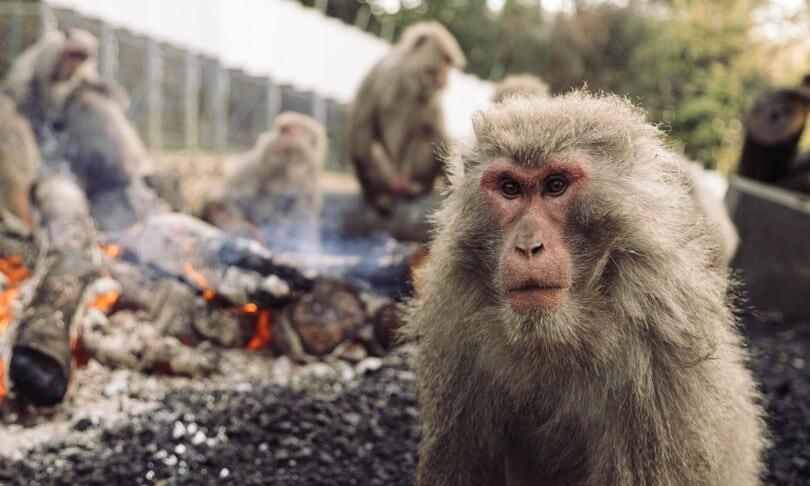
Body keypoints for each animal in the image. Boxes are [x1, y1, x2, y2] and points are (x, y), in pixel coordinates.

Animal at [201, 112, 326, 251]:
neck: (289, 171)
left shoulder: (309, 188)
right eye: (280, 131)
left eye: (287, 132)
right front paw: (238, 226)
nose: (274, 139)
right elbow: (226, 199)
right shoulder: (257, 164)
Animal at [344, 20, 464, 215]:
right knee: (371, 146)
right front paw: (373, 193)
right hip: (389, 173)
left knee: (427, 135)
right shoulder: (381, 72)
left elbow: (437, 133)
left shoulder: (430, 96)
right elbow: (361, 124)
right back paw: (378, 194)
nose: (447, 80)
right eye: (444, 61)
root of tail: (399, 181)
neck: (409, 73)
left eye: (448, 63)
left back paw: (420, 187)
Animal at [404, 91, 764, 486]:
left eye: (555, 185)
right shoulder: (455, 337)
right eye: (510, 188)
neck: (560, 331)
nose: (528, 246)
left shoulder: (660, 360)